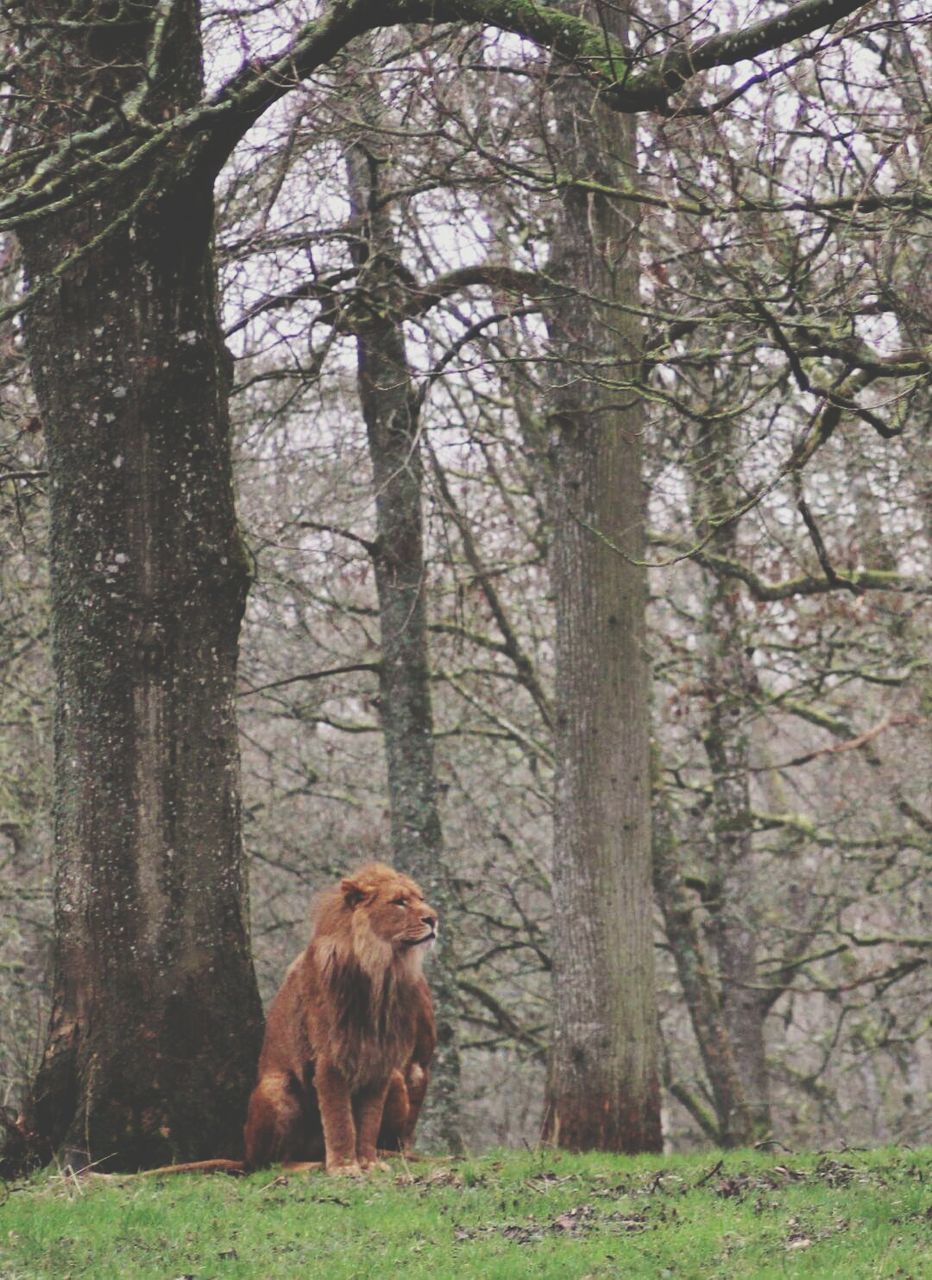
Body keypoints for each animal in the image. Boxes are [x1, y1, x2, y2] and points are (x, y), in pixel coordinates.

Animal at [244, 865, 440, 1172]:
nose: (433, 918)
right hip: (275, 1089)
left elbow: (368, 1120)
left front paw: (369, 1163)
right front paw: (345, 1167)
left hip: (397, 1078)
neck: (383, 971)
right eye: (399, 902)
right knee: (269, 1163)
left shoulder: (382, 1058)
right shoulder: (330, 1056)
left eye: (421, 899)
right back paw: (308, 1166)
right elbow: (339, 1120)